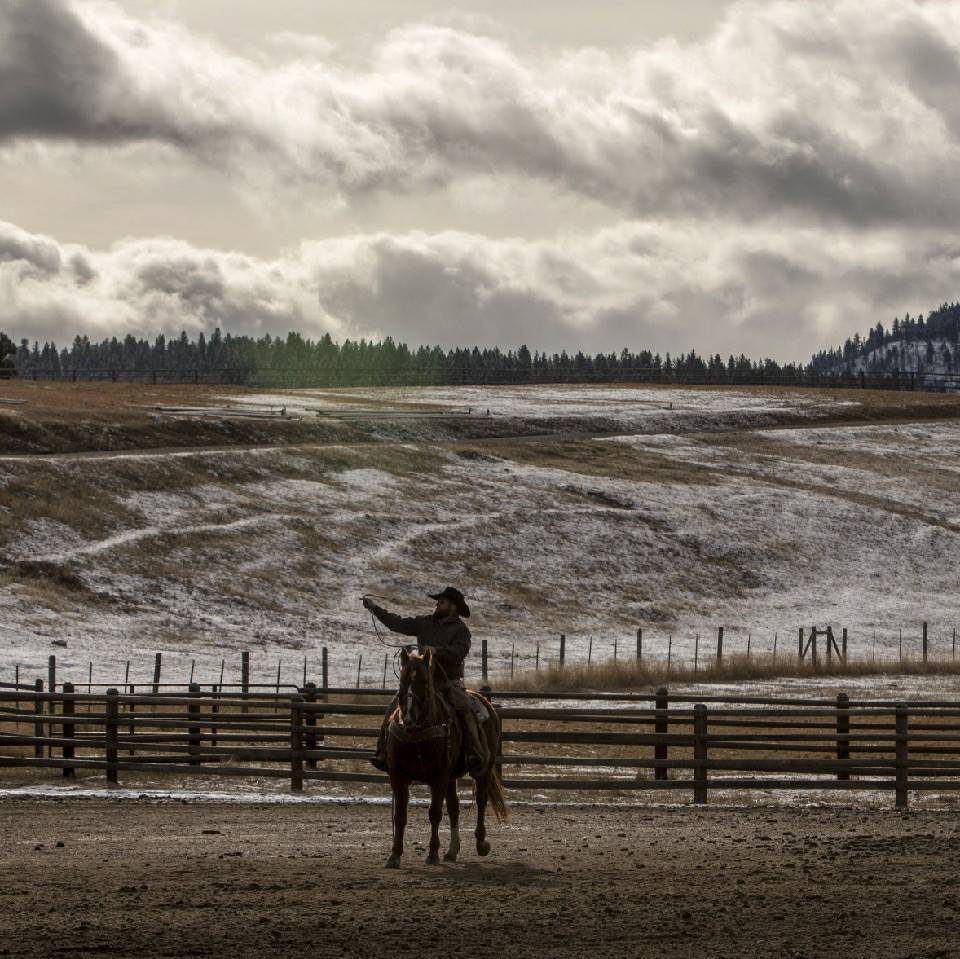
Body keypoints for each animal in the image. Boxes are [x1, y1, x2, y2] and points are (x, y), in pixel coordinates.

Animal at [386, 644, 510, 872]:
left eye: (424, 682)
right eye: (402, 681)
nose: (408, 716)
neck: (417, 731)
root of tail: (486, 703)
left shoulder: (439, 776)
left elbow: (434, 813)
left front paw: (432, 854)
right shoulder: (398, 776)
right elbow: (400, 816)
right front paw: (394, 855)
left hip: (483, 769)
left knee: (481, 800)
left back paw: (481, 843)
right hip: (452, 777)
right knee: (454, 807)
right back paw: (452, 850)